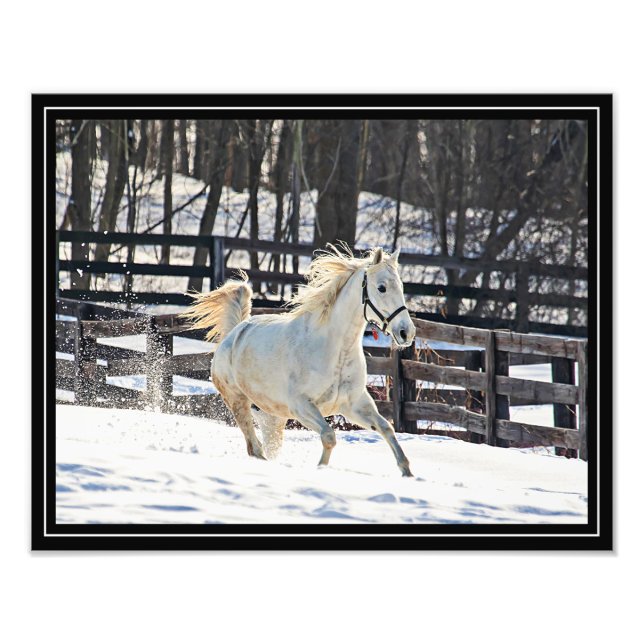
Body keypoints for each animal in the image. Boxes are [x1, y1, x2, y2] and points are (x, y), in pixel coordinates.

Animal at [180, 244, 417, 477]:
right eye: (382, 287)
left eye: (401, 287)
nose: (407, 332)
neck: (335, 351)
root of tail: (234, 333)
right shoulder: (301, 406)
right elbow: (329, 436)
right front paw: (320, 469)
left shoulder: (355, 404)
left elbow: (386, 428)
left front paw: (407, 472)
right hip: (238, 401)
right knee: (254, 447)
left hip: (272, 416)